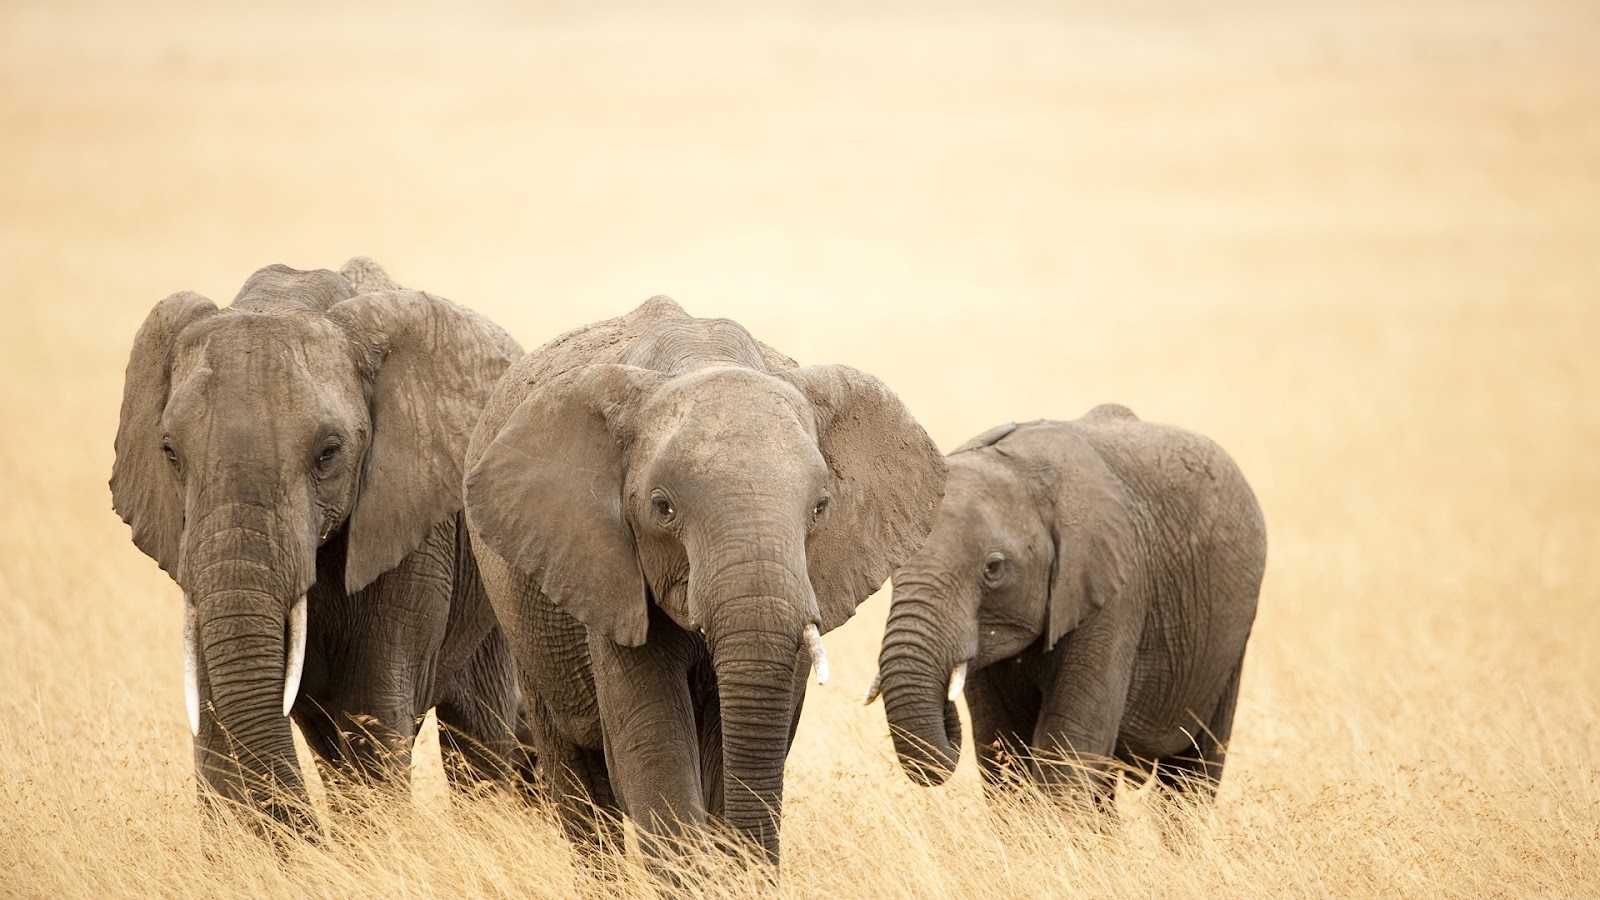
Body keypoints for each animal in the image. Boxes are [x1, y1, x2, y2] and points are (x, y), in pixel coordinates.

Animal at [111, 257, 534, 834]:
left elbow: (370, 712)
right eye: (170, 452)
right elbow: (218, 711)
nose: (316, 837)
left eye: (329, 453)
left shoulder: (411, 529)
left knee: (479, 730)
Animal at [867, 407, 1266, 806]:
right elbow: (1003, 750)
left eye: (993, 568)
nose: (946, 716)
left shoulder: (1114, 590)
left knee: (1191, 774)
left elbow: (1068, 751)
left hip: (1230, 642)